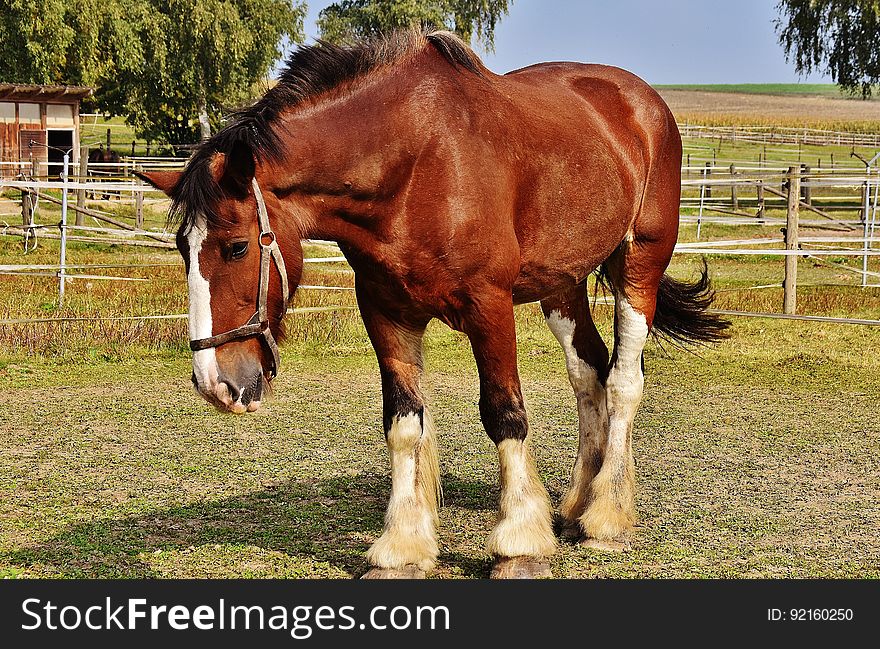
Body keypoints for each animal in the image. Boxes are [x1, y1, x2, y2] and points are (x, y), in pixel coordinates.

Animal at [139, 29, 728, 576]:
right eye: (182, 248)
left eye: (236, 246)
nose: (215, 383)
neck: (414, 166)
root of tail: (643, 102)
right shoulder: (386, 313)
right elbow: (403, 424)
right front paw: (402, 547)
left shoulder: (489, 307)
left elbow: (505, 415)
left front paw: (518, 544)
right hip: (562, 284)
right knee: (589, 374)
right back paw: (575, 506)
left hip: (639, 266)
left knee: (624, 381)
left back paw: (606, 517)